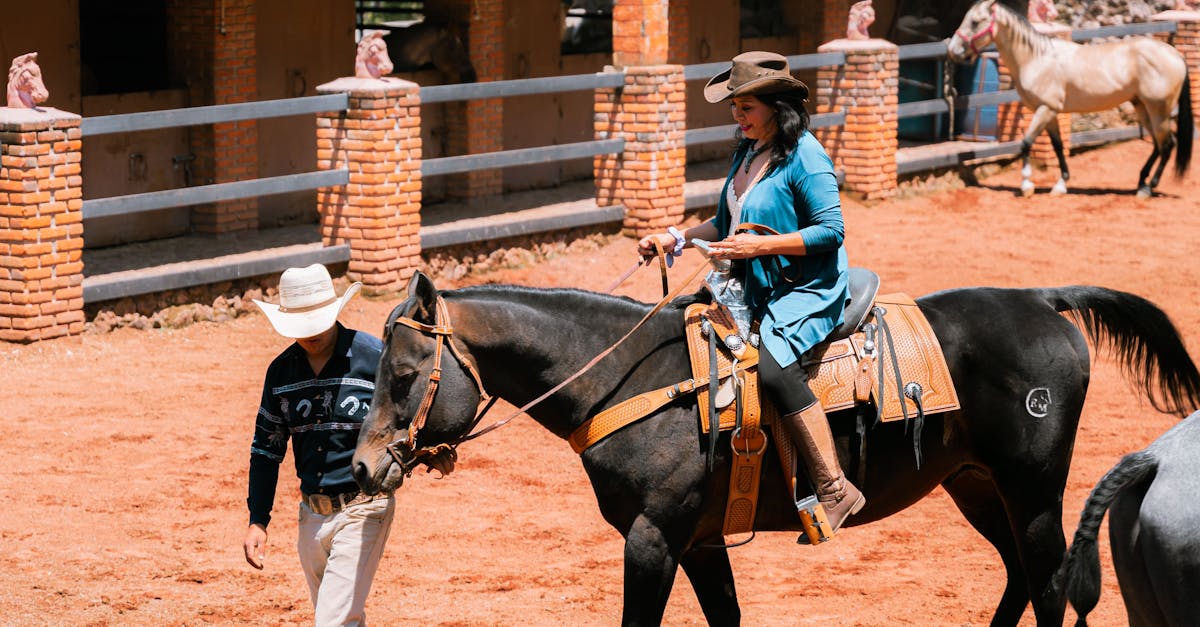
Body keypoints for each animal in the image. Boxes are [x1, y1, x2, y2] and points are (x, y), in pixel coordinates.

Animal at [946, 0, 1193, 198]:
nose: (952, 51)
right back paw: (1141, 181)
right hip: (1142, 107)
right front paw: (1060, 185)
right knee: (1158, 145)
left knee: (1167, 144)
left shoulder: (1045, 109)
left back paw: (1148, 187)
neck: (1037, 58)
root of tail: (1176, 55)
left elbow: (1026, 143)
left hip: (1158, 110)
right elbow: (1057, 147)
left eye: (975, 22)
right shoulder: (1050, 112)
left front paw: (1026, 186)